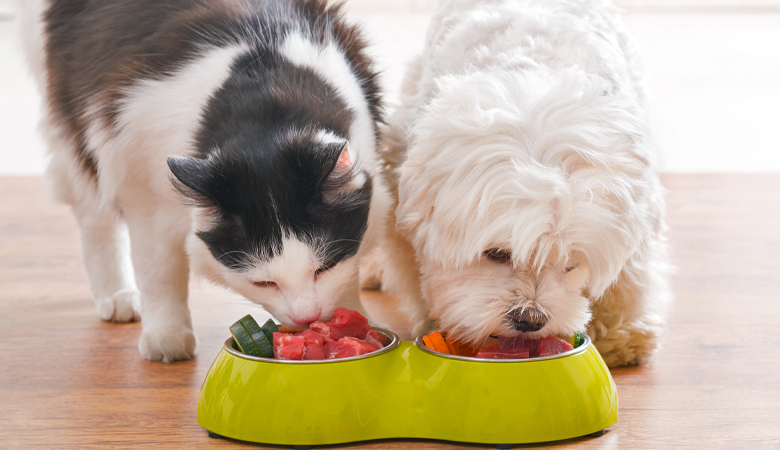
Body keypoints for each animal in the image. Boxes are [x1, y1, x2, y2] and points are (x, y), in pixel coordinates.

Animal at [21, 0, 390, 362]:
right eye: (263, 284)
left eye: (324, 267)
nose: (308, 318)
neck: (262, 100)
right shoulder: (143, 189)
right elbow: (158, 271)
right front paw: (166, 335)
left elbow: (351, 270)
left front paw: (353, 318)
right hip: (78, 129)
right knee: (94, 215)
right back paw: (118, 295)